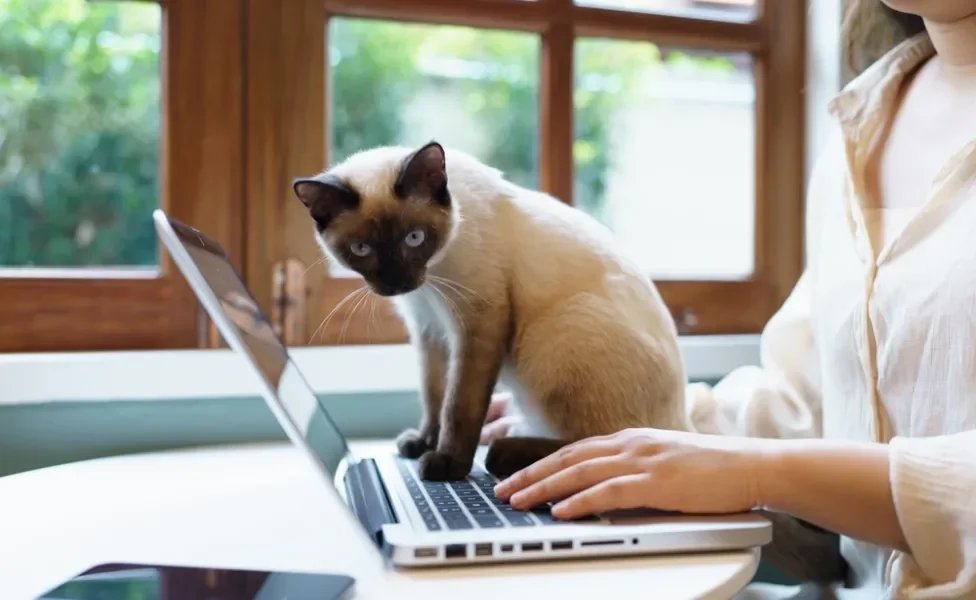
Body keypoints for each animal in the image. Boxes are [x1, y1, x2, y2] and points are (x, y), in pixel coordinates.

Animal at [292, 141, 688, 482]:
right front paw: (423, 442)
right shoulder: (430, 329)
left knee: (606, 441)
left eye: (414, 238)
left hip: (556, 335)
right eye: (362, 249)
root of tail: (681, 422)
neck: (431, 280)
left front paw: (447, 464)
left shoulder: (478, 324)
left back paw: (505, 453)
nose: (397, 283)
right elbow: (433, 394)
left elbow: (458, 405)